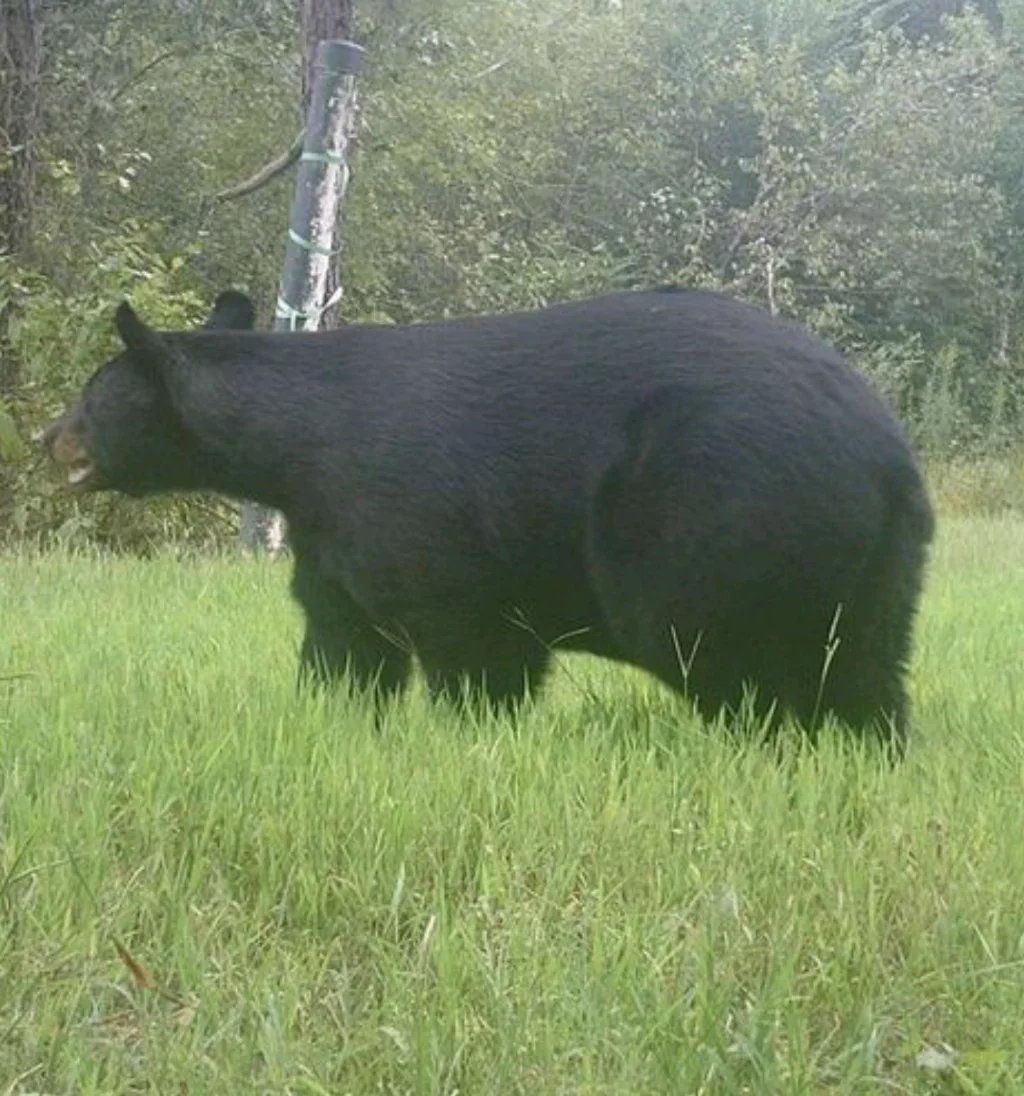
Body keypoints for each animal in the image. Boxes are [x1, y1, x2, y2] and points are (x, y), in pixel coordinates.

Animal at [43, 286, 934, 750]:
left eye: (90, 399)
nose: (47, 436)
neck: (295, 447)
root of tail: (888, 451)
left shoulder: (410, 509)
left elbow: (467, 638)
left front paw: (470, 736)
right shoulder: (327, 530)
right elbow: (344, 638)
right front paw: (335, 721)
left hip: (718, 508)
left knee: (723, 649)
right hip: (877, 561)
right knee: (865, 664)